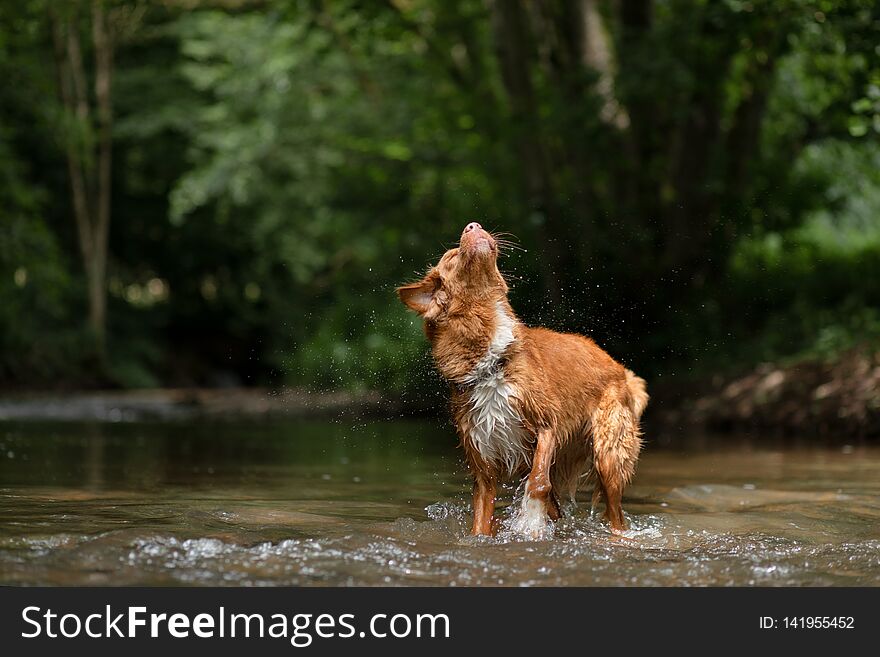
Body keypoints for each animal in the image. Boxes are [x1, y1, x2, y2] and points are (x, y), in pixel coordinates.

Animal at [398, 223, 648, 536]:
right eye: (453, 256)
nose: (473, 225)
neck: (490, 361)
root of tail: (620, 369)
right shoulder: (484, 466)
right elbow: (481, 520)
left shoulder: (547, 425)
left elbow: (538, 482)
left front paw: (529, 522)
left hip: (608, 456)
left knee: (617, 516)